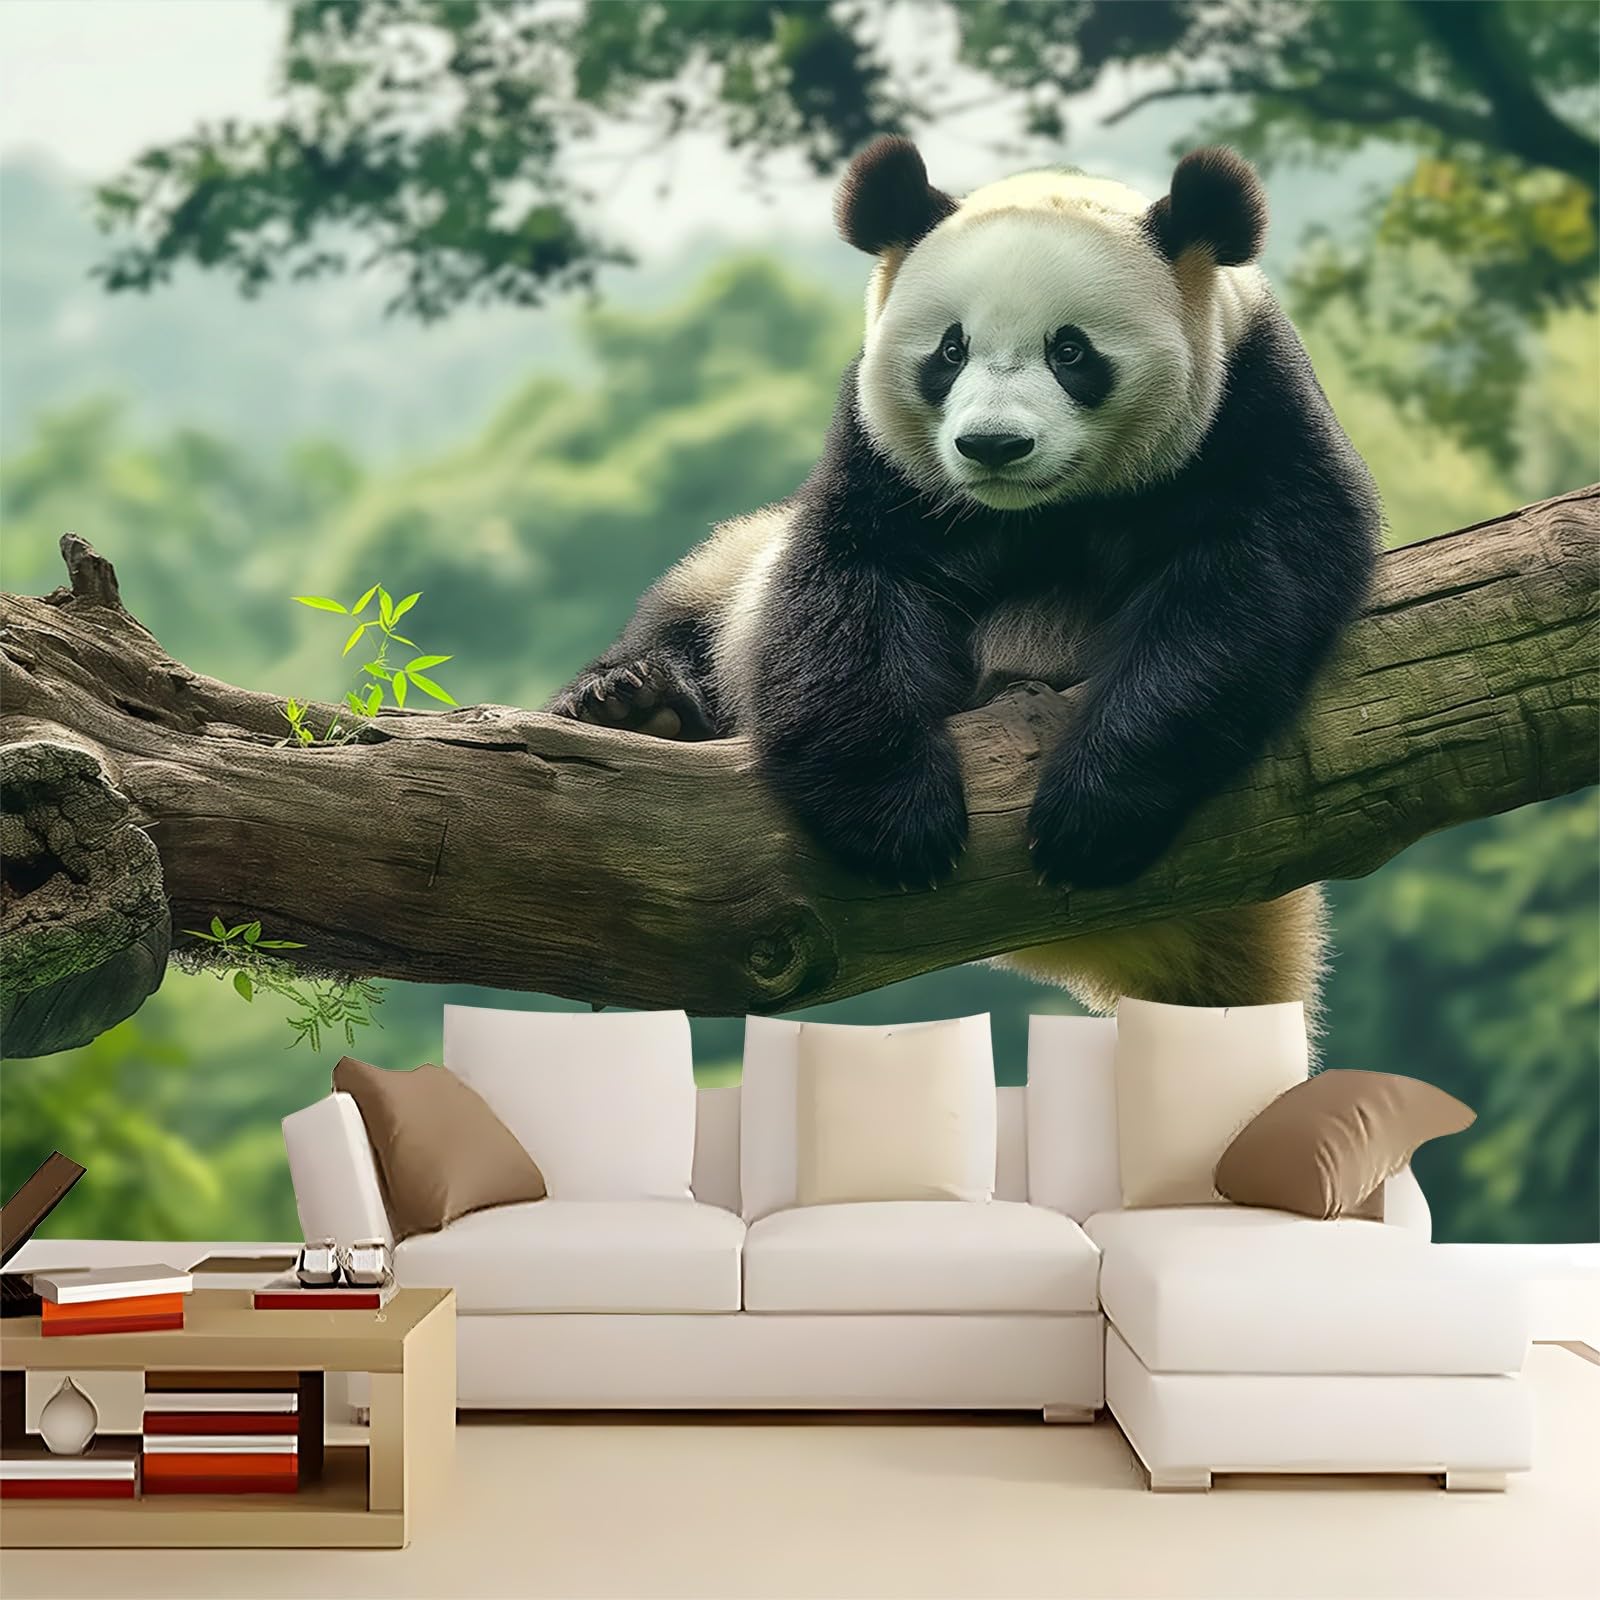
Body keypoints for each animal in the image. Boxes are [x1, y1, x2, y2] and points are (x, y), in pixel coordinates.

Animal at [548, 137, 1381, 1016]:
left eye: (1070, 351)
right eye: (951, 351)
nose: (992, 446)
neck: (1043, 509)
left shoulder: (1253, 415)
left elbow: (1239, 596)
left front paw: (1091, 811)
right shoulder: (884, 463)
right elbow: (844, 591)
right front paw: (900, 820)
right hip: (732, 588)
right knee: (710, 597)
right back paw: (636, 705)